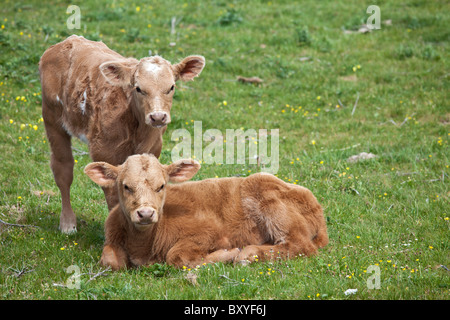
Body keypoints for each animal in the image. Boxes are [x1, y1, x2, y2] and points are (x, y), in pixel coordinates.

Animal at [38, 35, 206, 232]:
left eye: (171, 87)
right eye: (138, 88)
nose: (158, 116)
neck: (138, 130)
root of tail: (67, 41)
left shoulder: (153, 148)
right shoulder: (104, 151)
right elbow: (113, 194)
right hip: (52, 117)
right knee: (63, 168)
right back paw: (67, 224)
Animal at [84, 154, 328, 268]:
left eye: (161, 186)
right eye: (126, 186)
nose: (145, 214)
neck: (143, 246)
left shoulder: (209, 233)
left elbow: (177, 256)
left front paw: (227, 254)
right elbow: (110, 261)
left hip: (268, 197)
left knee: (300, 245)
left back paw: (248, 253)